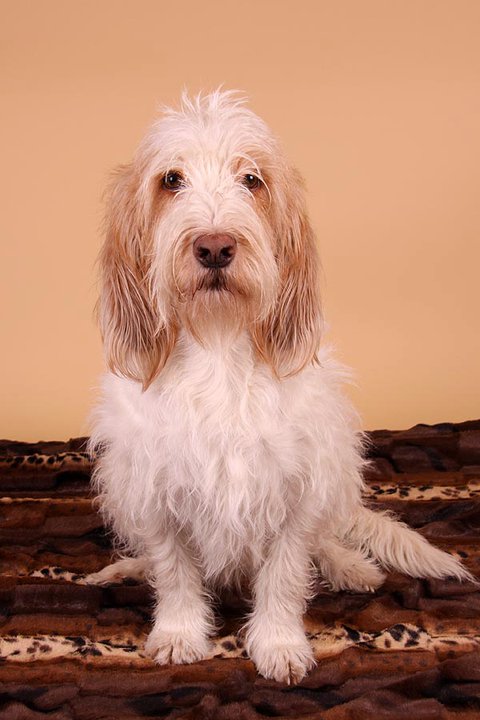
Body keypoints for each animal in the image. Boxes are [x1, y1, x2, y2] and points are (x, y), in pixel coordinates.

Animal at [87, 88, 472, 680]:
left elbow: (287, 573)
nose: (215, 246)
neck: (219, 344)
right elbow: (174, 571)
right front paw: (179, 633)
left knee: (326, 542)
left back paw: (350, 566)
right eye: (171, 179)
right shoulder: (154, 487)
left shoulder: (299, 487)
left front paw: (278, 643)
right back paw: (125, 569)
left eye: (252, 179)